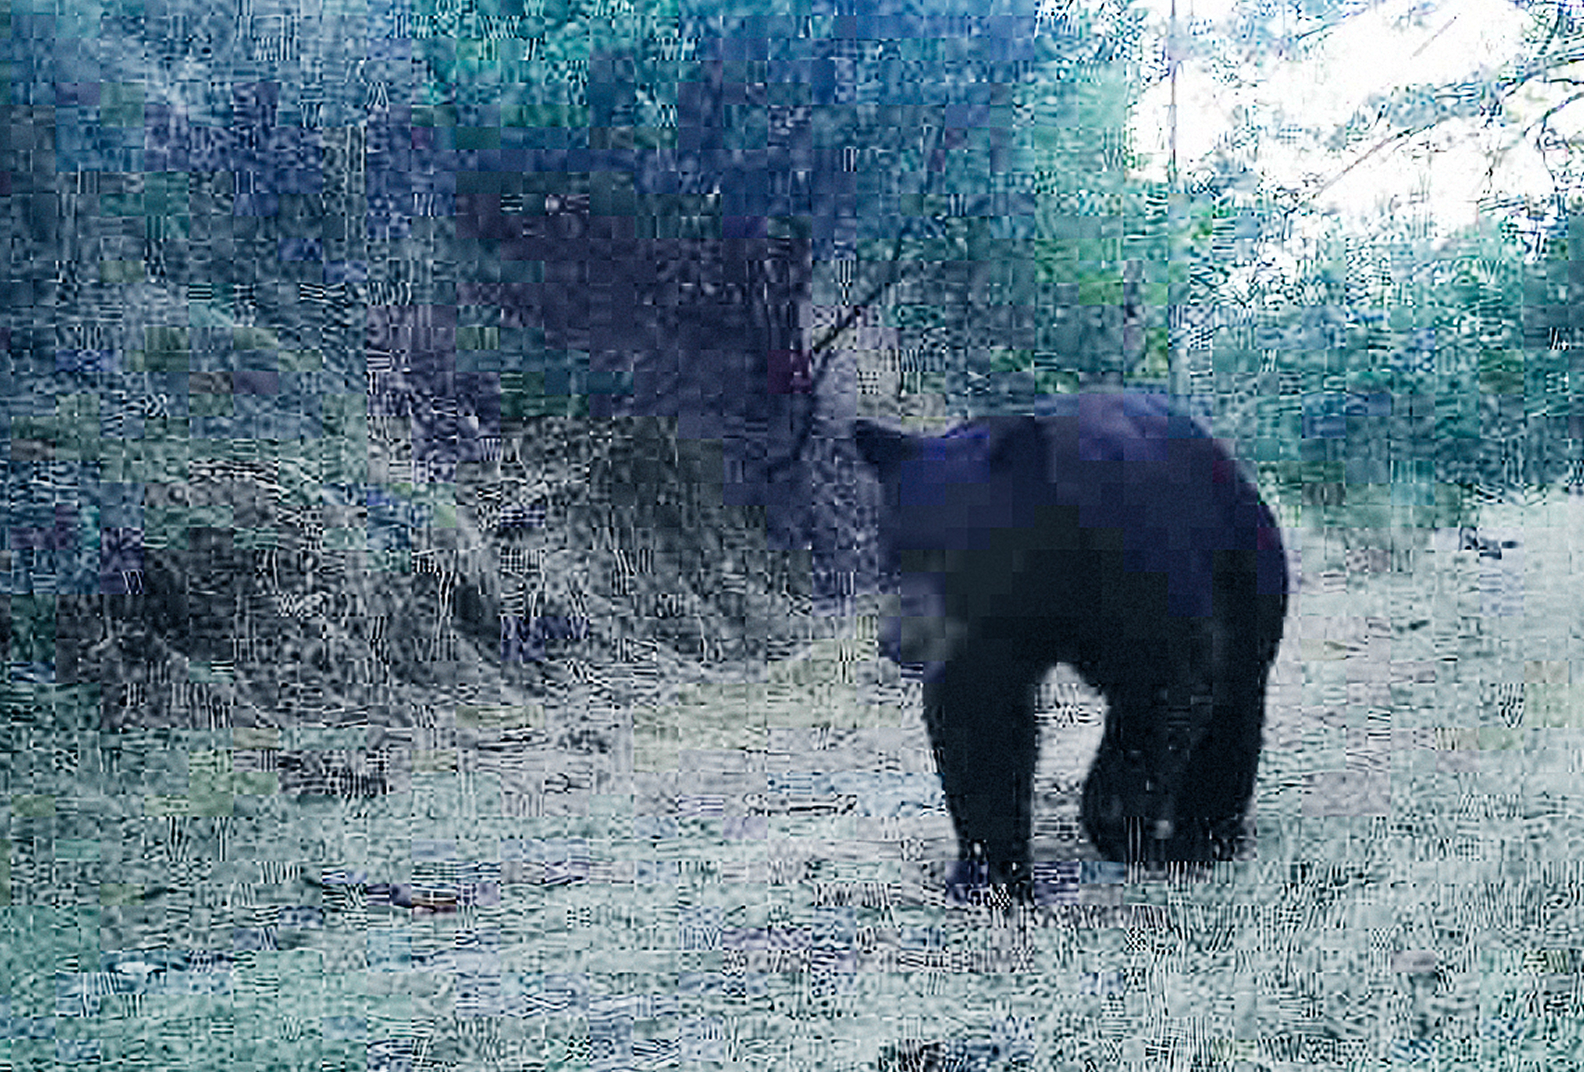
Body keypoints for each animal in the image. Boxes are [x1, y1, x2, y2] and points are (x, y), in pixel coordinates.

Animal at [854, 391, 1287, 896]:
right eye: (891, 551)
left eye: (953, 554)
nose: (897, 641)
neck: (1050, 566)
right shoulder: (984, 632)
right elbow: (979, 715)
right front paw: (988, 877)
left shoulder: (1136, 563)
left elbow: (1164, 681)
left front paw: (1122, 828)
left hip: (1245, 576)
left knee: (1234, 707)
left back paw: (1204, 835)